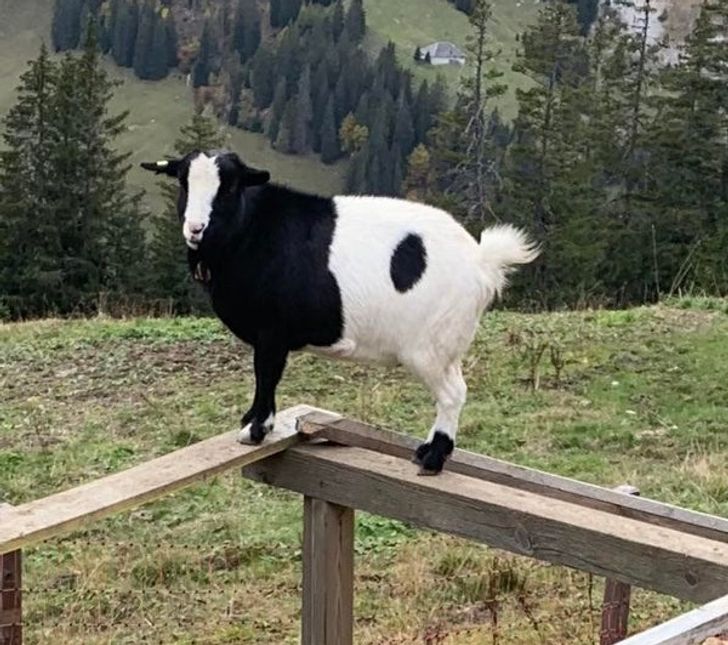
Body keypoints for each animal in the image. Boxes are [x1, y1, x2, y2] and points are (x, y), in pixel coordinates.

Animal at [144, 150, 540, 472]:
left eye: (228, 189)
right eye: (183, 183)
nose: (195, 228)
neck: (249, 232)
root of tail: (482, 260)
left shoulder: (272, 333)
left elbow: (266, 376)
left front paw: (255, 430)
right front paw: (250, 422)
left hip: (428, 347)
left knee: (453, 393)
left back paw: (432, 457)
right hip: (447, 346)